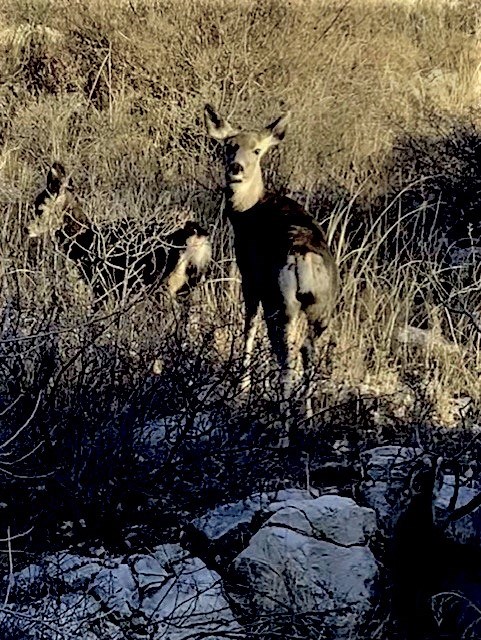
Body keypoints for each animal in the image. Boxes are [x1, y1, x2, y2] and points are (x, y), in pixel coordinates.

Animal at [27, 164, 211, 306]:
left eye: (40, 209)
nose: (27, 229)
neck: (85, 241)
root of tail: (197, 238)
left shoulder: (102, 284)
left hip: (166, 284)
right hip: (192, 284)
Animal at [204, 106, 340, 436]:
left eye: (257, 150)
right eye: (229, 145)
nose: (236, 168)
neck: (246, 213)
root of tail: (305, 259)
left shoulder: (250, 276)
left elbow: (248, 328)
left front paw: (241, 390)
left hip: (283, 300)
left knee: (287, 358)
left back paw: (282, 427)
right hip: (321, 309)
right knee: (308, 356)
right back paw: (307, 421)